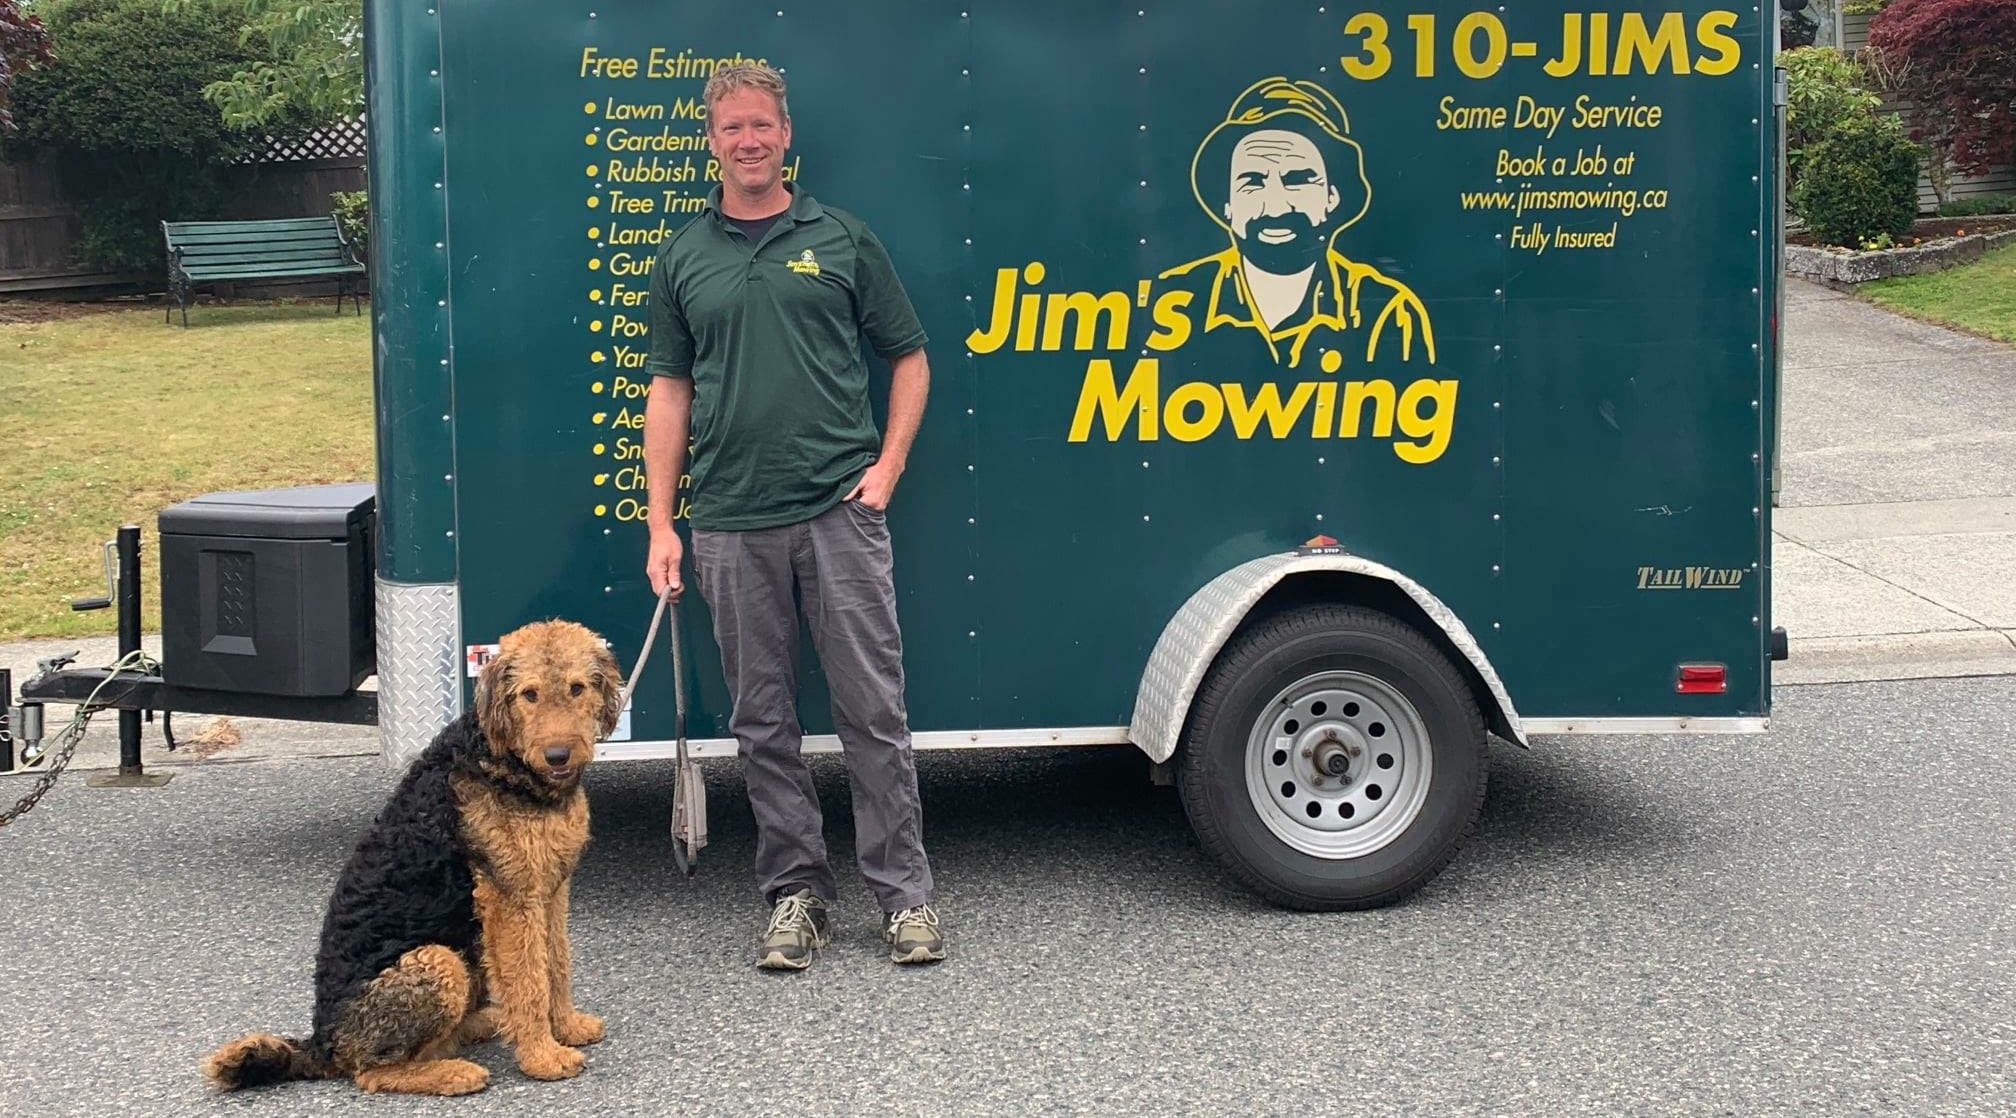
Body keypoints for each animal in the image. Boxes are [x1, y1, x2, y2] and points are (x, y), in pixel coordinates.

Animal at [202, 616, 620, 1095]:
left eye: (576, 688)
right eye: (529, 693)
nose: (557, 756)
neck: (504, 759)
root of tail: (323, 1043)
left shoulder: (550, 890)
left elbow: (555, 965)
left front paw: (567, 1027)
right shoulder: (510, 898)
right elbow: (530, 980)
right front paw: (543, 1056)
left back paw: (484, 1023)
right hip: (437, 961)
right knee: (373, 1071)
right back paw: (456, 1071)